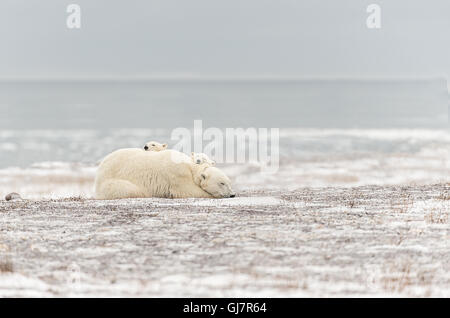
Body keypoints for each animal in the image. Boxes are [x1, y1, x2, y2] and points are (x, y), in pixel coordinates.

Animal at [95, 148, 236, 199]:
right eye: (222, 183)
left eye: (229, 182)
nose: (232, 194)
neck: (190, 167)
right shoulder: (177, 175)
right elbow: (188, 191)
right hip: (112, 181)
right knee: (130, 189)